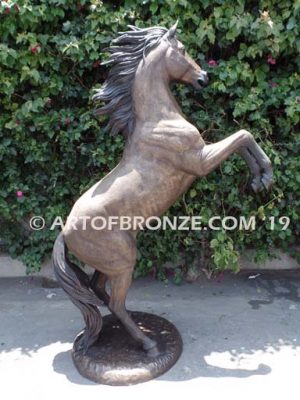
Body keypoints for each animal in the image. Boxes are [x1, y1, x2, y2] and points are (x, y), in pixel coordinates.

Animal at [52, 23, 274, 358]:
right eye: (181, 50)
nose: (203, 78)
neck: (159, 120)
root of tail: (65, 232)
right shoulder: (200, 161)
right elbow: (242, 135)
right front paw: (265, 176)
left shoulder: (202, 157)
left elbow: (241, 139)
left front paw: (259, 180)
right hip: (123, 262)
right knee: (115, 302)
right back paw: (149, 345)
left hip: (112, 263)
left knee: (99, 292)